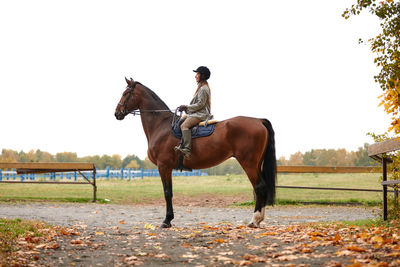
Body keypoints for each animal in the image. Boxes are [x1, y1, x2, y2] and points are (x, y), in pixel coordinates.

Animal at [114, 77, 276, 228]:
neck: (162, 125)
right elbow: (169, 192)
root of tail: (258, 121)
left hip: (248, 163)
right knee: (262, 187)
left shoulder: (163, 166)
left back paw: (254, 220)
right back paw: (258, 219)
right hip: (256, 164)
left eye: (125, 94)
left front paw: (167, 221)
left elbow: (167, 193)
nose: (116, 113)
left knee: (259, 187)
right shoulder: (166, 167)